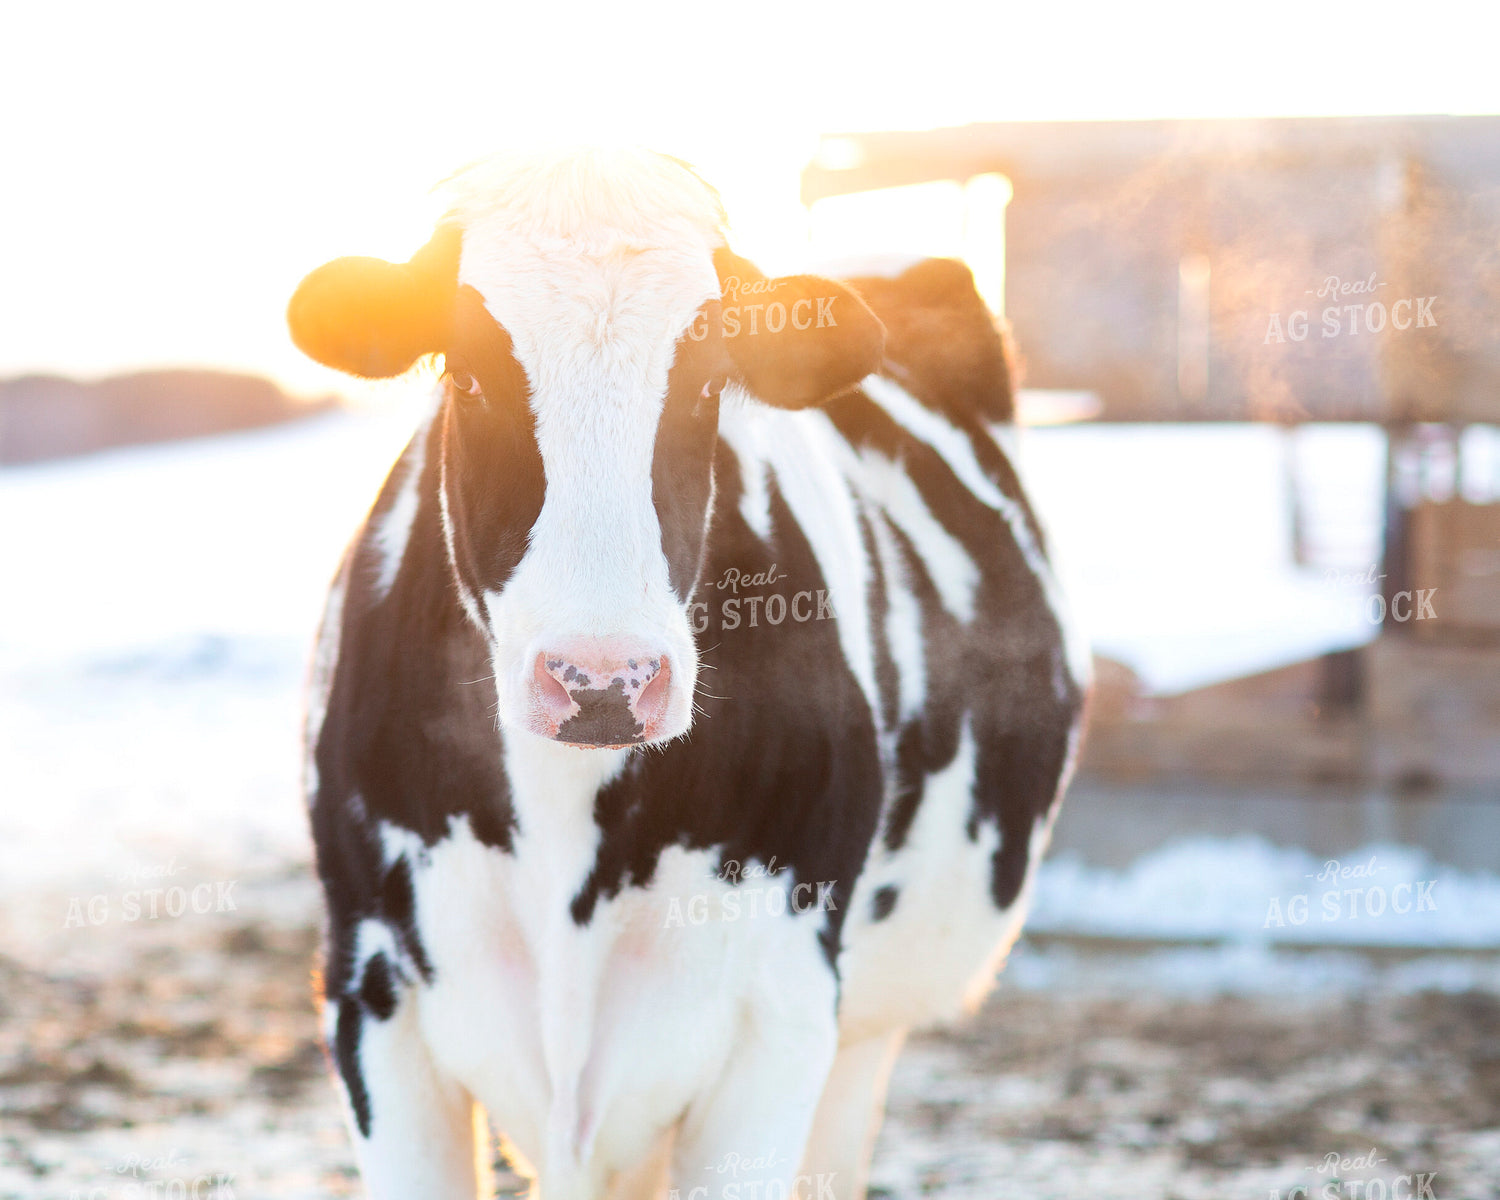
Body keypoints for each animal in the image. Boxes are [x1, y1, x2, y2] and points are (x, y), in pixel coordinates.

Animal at [290, 147, 1089, 1200]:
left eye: (709, 384)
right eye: (466, 373)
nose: (601, 680)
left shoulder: (781, 1014)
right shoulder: (371, 996)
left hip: (864, 1032)